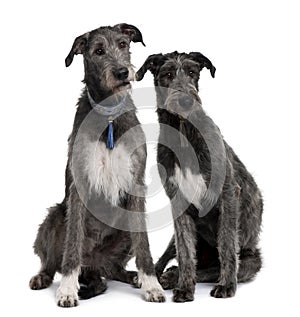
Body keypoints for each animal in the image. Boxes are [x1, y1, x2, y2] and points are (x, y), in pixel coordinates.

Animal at [29, 24, 165, 306]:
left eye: (123, 44)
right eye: (99, 51)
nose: (122, 72)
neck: (109, 115)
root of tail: (93, 264)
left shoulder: (136, 184)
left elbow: (144, 245)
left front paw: (152, 284)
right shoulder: (79, 183)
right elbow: (72, 244)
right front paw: (67, 289)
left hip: (124, 228)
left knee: (113, 268)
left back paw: (132, 276)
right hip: (53, 218)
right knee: (51, 260)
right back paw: (43, 276)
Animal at [136, 51, 262, 302]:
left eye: (192, 72)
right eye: (167, 74)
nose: (186, 101)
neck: (184, 133)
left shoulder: (227, 194)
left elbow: (226, 245)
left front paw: (226, 285)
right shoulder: (178, 203)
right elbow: (186, 251)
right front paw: (185, 287)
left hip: (251, 260)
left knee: (216, 267)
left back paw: (172, 276)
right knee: (174, 254)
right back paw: (160, 275)